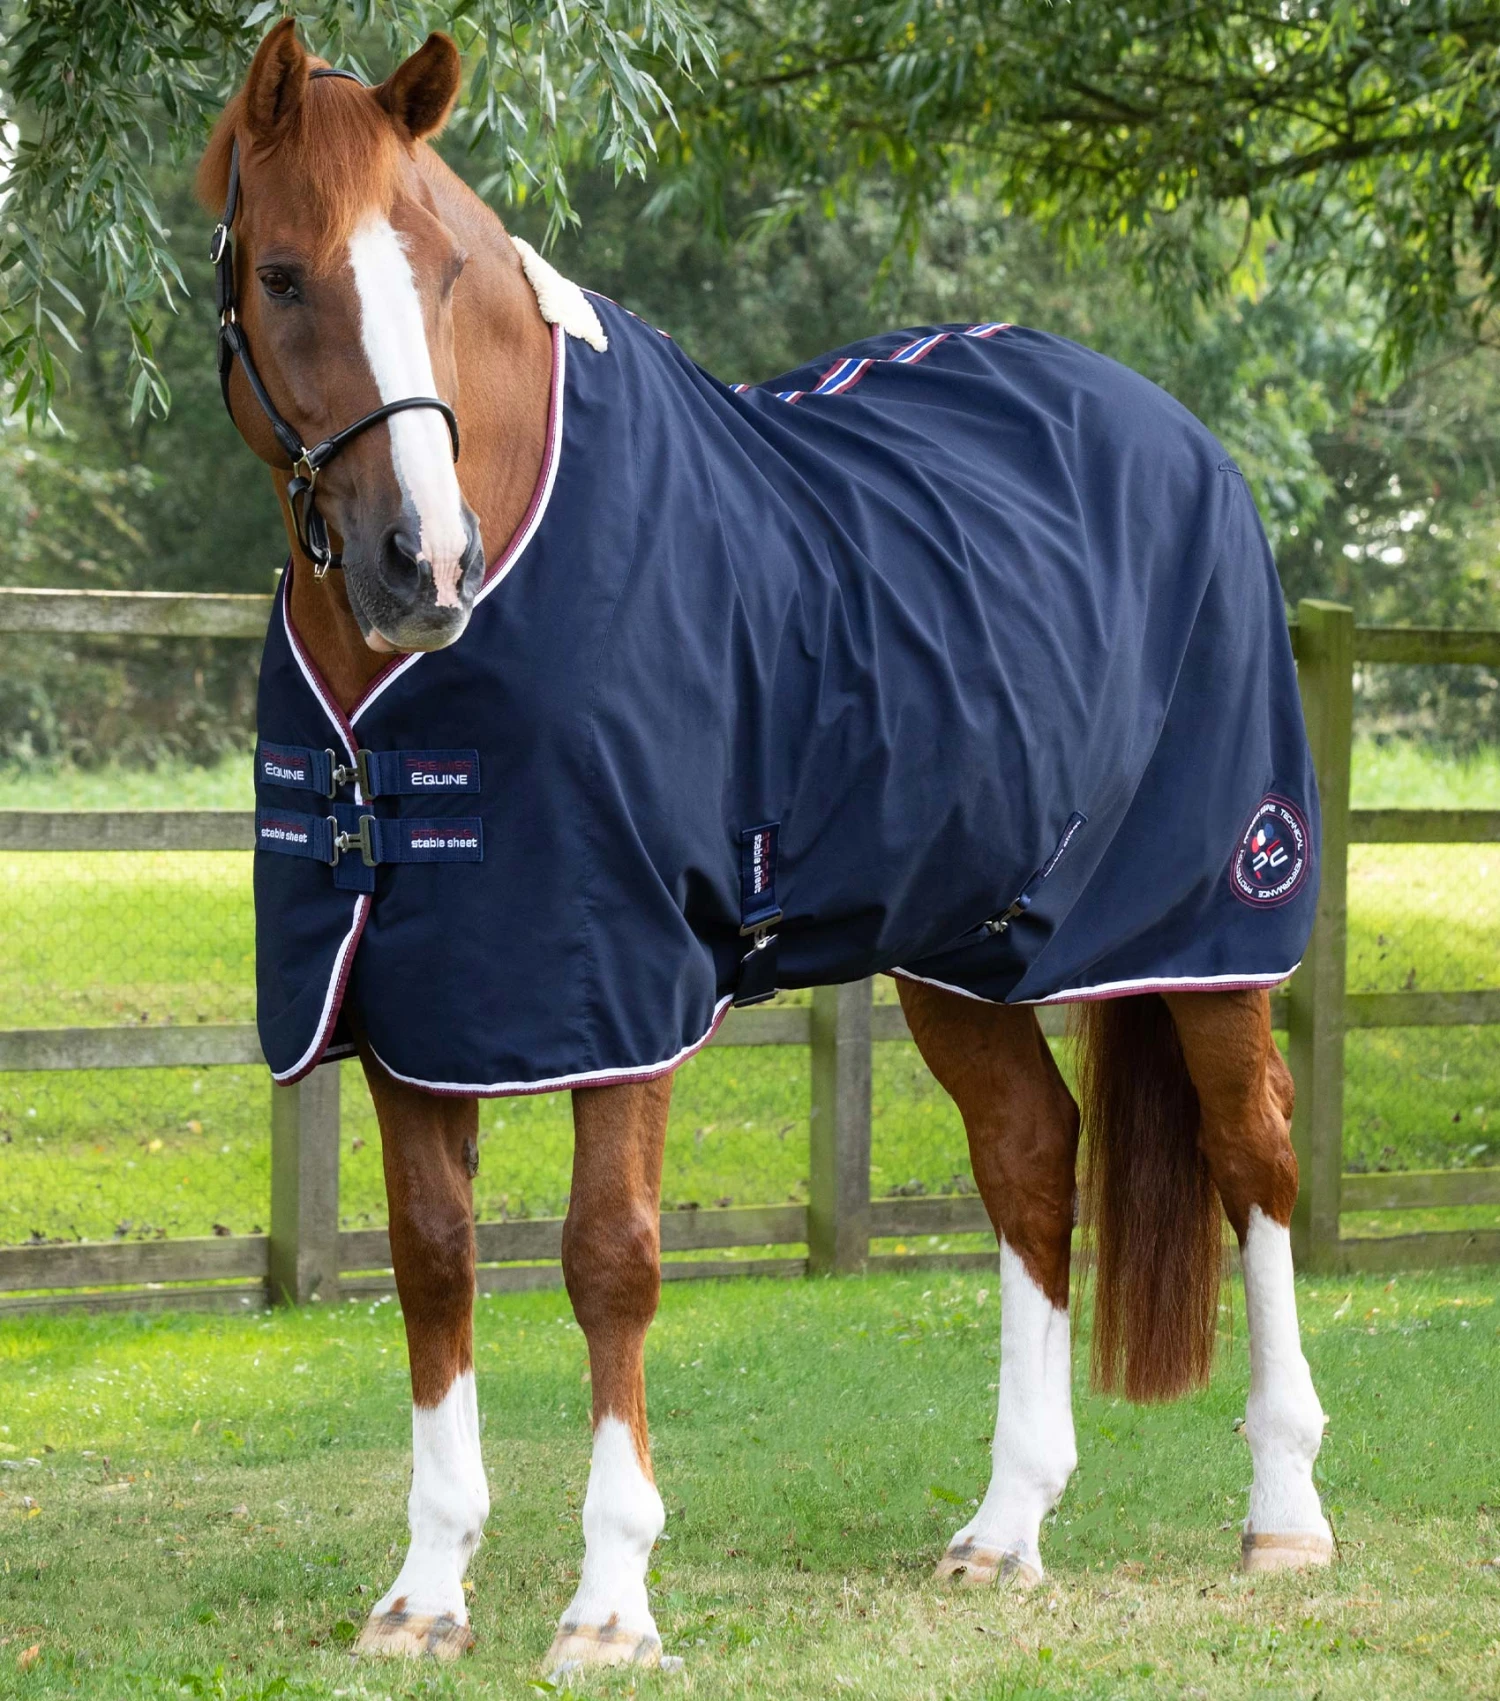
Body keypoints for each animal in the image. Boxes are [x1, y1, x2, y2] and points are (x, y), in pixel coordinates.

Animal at [199, 20, 1332, 1671]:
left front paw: (610, 1604)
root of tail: (1176, 435)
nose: (427, 566)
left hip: (1213, 925)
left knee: (1256, 1159)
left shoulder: (617, 982)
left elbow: (609, 1259)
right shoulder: (418, 991)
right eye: (283, 275)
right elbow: (432, 1257)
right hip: (961, 944)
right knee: (1029, 1157)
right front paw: (426, 1590)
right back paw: (1007, 1526)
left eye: (448, 271)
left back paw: (1286, 1514)